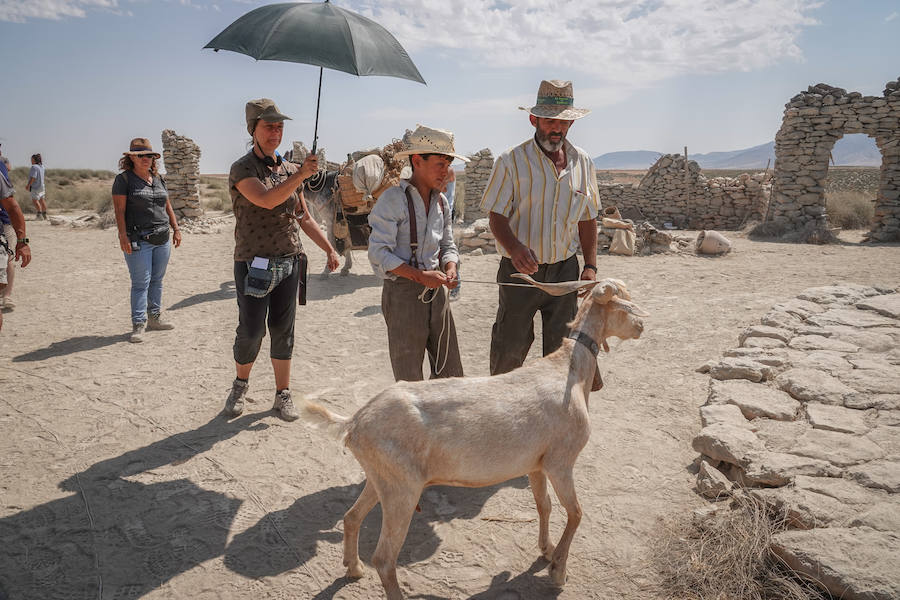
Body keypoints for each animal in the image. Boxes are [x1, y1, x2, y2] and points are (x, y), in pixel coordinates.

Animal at [302, 278, 648, 600]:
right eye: (621, 300)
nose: (641, 326)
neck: (569, 372)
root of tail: (355, 421)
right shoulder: (560, 461)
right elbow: (576, 513)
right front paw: (558, 571)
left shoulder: (536, 464)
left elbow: (544, 505)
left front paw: (546, 550)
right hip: (402, 488)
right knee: (385, 559)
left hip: (381, 477)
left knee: (351, 518)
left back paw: (354, 568)